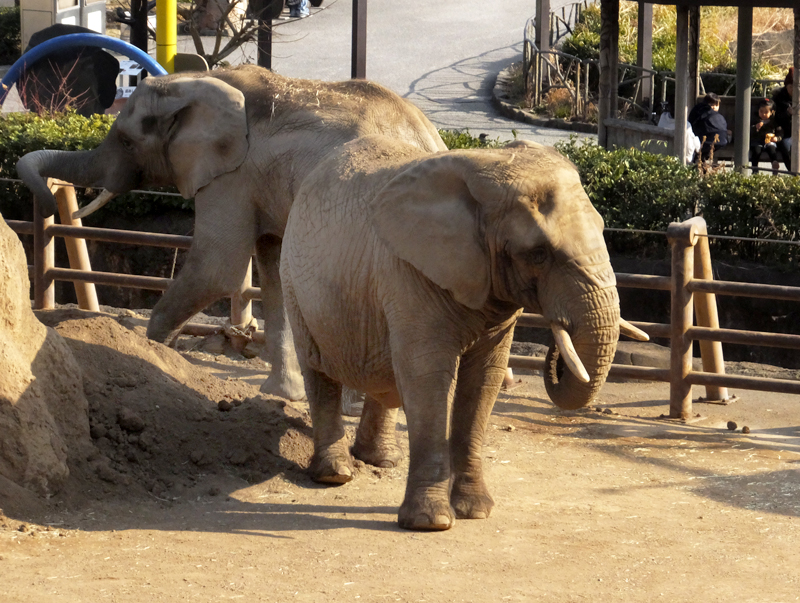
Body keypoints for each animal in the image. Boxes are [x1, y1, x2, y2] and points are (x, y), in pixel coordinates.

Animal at [17, 65, 450, 402]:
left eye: (126, 140)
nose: (52, 202)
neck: (194, 80)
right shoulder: (260, 183)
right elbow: (274, 269)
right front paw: (279, 396)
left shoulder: (232, 176)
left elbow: (216, 267)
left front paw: (153, 355)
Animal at [278, 136, 648, 528]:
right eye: (538, 254)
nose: (558, 344)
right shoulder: (410, 273)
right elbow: (427, 376)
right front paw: (431, 523)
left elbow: (484, 380)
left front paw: (476, 512)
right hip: (295, 278)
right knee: (318, 369)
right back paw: (335, 474)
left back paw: (382, 460)